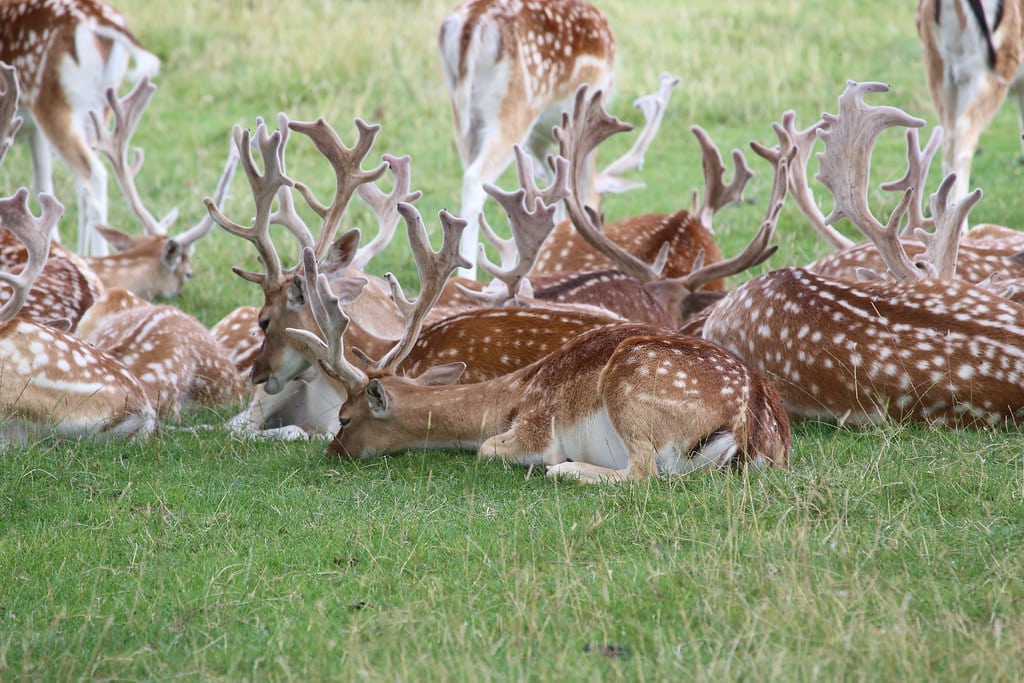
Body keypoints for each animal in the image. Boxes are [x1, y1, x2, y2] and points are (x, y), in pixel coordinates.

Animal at [0, 0, 161, 256]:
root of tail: (99, 20)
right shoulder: (34, 132)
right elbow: (42, 183)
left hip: (52, 104)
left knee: (94, 176)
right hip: (98, 109)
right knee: (84, 183)